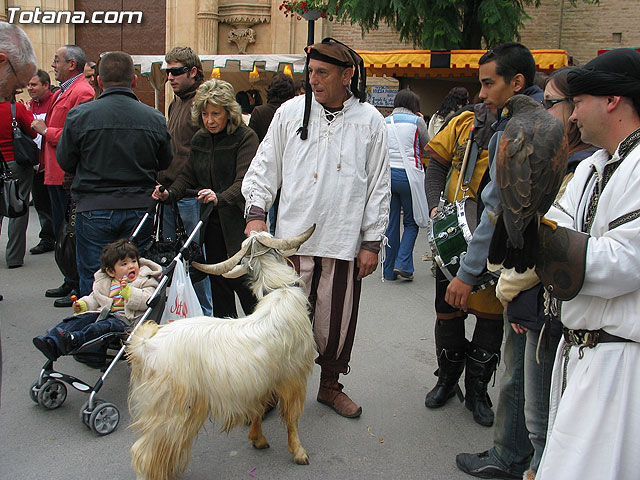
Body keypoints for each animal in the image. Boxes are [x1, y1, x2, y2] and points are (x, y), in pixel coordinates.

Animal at [126, 226, 316, 480]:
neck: (279, 293)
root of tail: (144, 345)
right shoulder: (293, 377)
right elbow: (292, 418)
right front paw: (299, 452)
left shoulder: (260, 381)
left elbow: (258, 408)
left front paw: (257, 439)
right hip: (169, 409)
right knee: (144, 452)